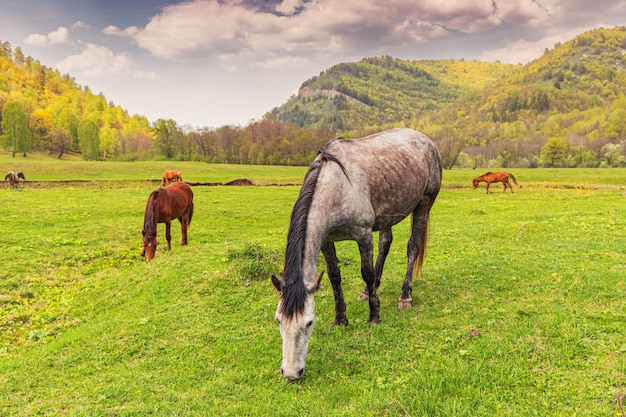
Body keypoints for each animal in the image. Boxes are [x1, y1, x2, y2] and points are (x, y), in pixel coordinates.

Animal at [270, 127, 442, 380]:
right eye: (279, 320)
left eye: (309, 323)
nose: (291, 373)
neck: (337, 186)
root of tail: (425, 139)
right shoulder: (327, 241)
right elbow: (334, 277)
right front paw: (341, 319)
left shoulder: (363, 235)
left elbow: (366, 273)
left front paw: (374, 317)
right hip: (387, 213)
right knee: (386, 243)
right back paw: (367, 292)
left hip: (424, 203)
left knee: (412, 248)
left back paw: (405, 296)